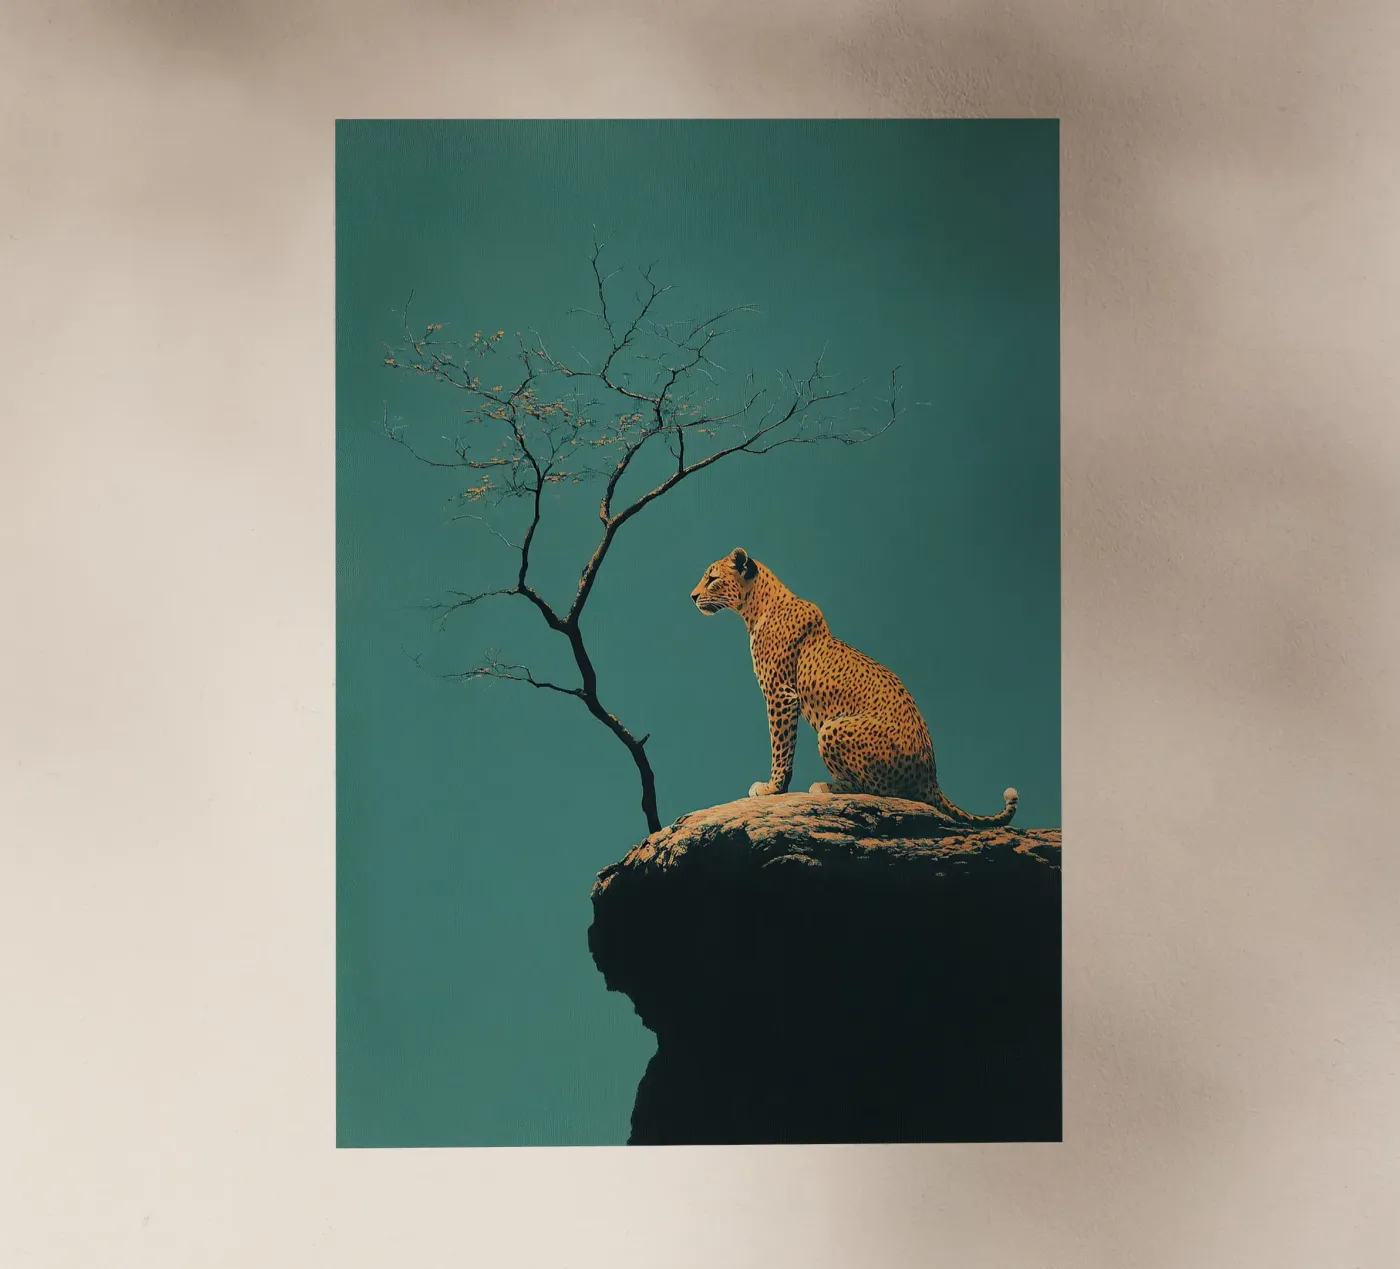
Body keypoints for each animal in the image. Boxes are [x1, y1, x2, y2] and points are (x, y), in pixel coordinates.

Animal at [690, 547, 1018, 827]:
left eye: (712, 578)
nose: (692, 596)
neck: (755, 606)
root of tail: (931, 779)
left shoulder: (781, 694)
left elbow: (781, 745)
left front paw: (772, 788)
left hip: (832, 727)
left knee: (879, 792)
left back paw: (826, 787)